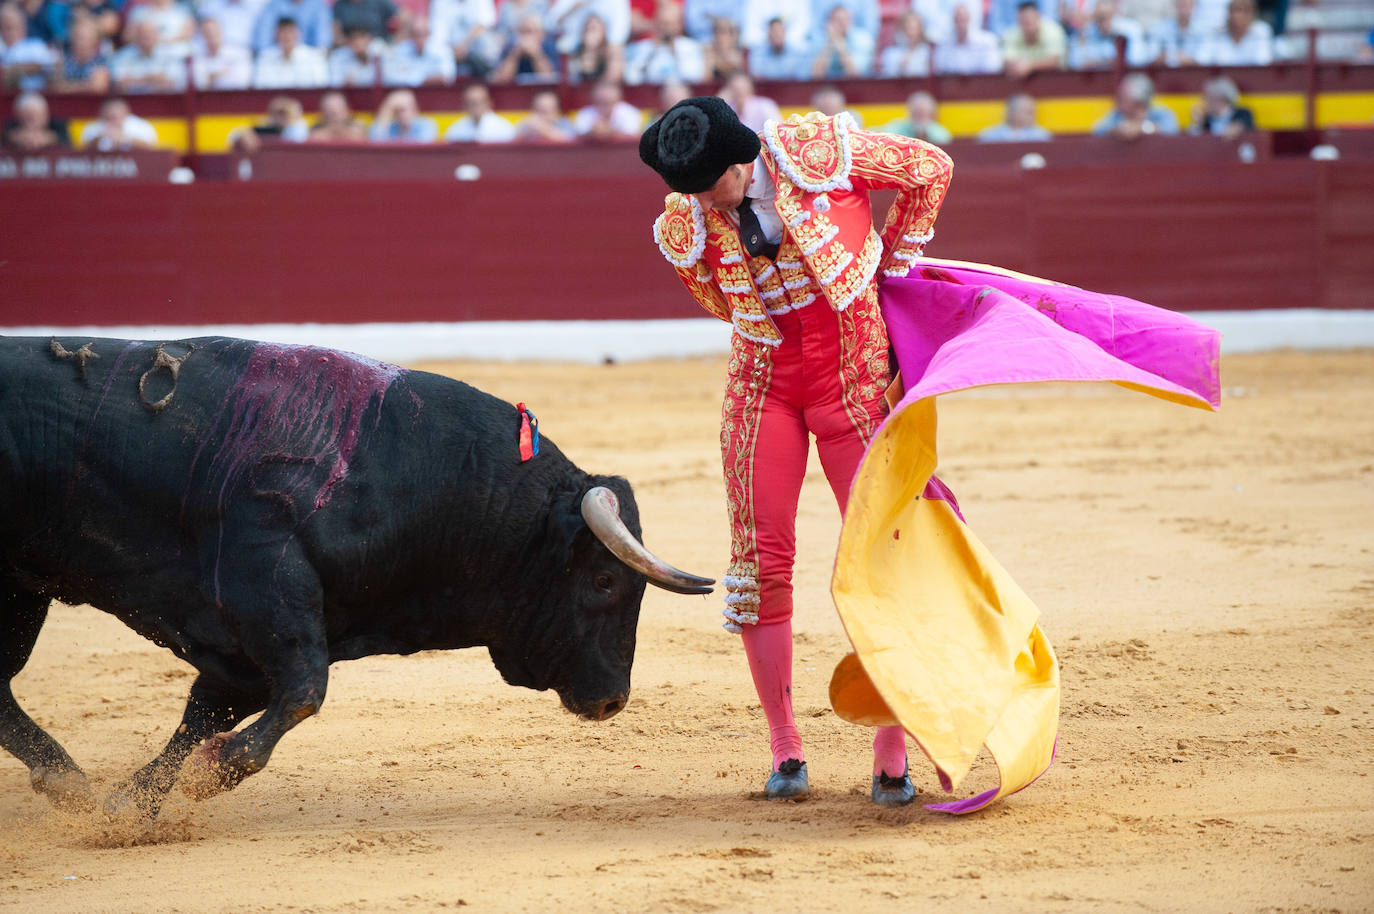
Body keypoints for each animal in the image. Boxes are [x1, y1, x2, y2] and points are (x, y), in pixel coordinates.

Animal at [0, 336, 708, 819]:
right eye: (605, 583)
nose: (613, 699)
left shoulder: (253, 644)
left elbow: (207, 712)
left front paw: (132, 802)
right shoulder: (266, 579)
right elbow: (302, 691)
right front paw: (211, 772)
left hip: (20, 593)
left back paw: (67, 782)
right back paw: (65, 779)